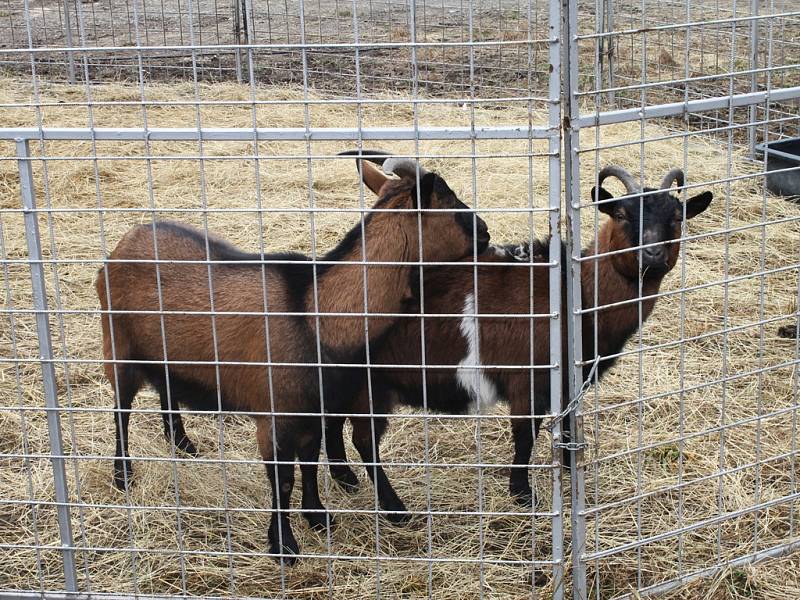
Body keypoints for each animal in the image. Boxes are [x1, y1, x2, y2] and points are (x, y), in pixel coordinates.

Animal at [97, 151, 490, 564]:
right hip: (118, 348)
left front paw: (317, 515)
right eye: (448, 199)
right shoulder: (275, 417)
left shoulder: (313, 411)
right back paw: (123, 474)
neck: (316, 313)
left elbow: (311, 462)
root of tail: (126, 241)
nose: (486, 231)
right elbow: (282, 479)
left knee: (166, 388)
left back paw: (182, 444)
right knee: (121, 408)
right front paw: (283, 545)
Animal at [324, 164, 712, 520]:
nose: (653, 255)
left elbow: (568, 428)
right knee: (363, 439)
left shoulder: (569, 385)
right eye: (621, 213)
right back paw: (394, 508)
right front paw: (523, 494)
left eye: (677, 217)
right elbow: (525, 436)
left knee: (330, 422)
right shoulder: (527, 379)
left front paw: (570, 471)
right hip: (370, 385)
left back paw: (346, 480)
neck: (575, 295)